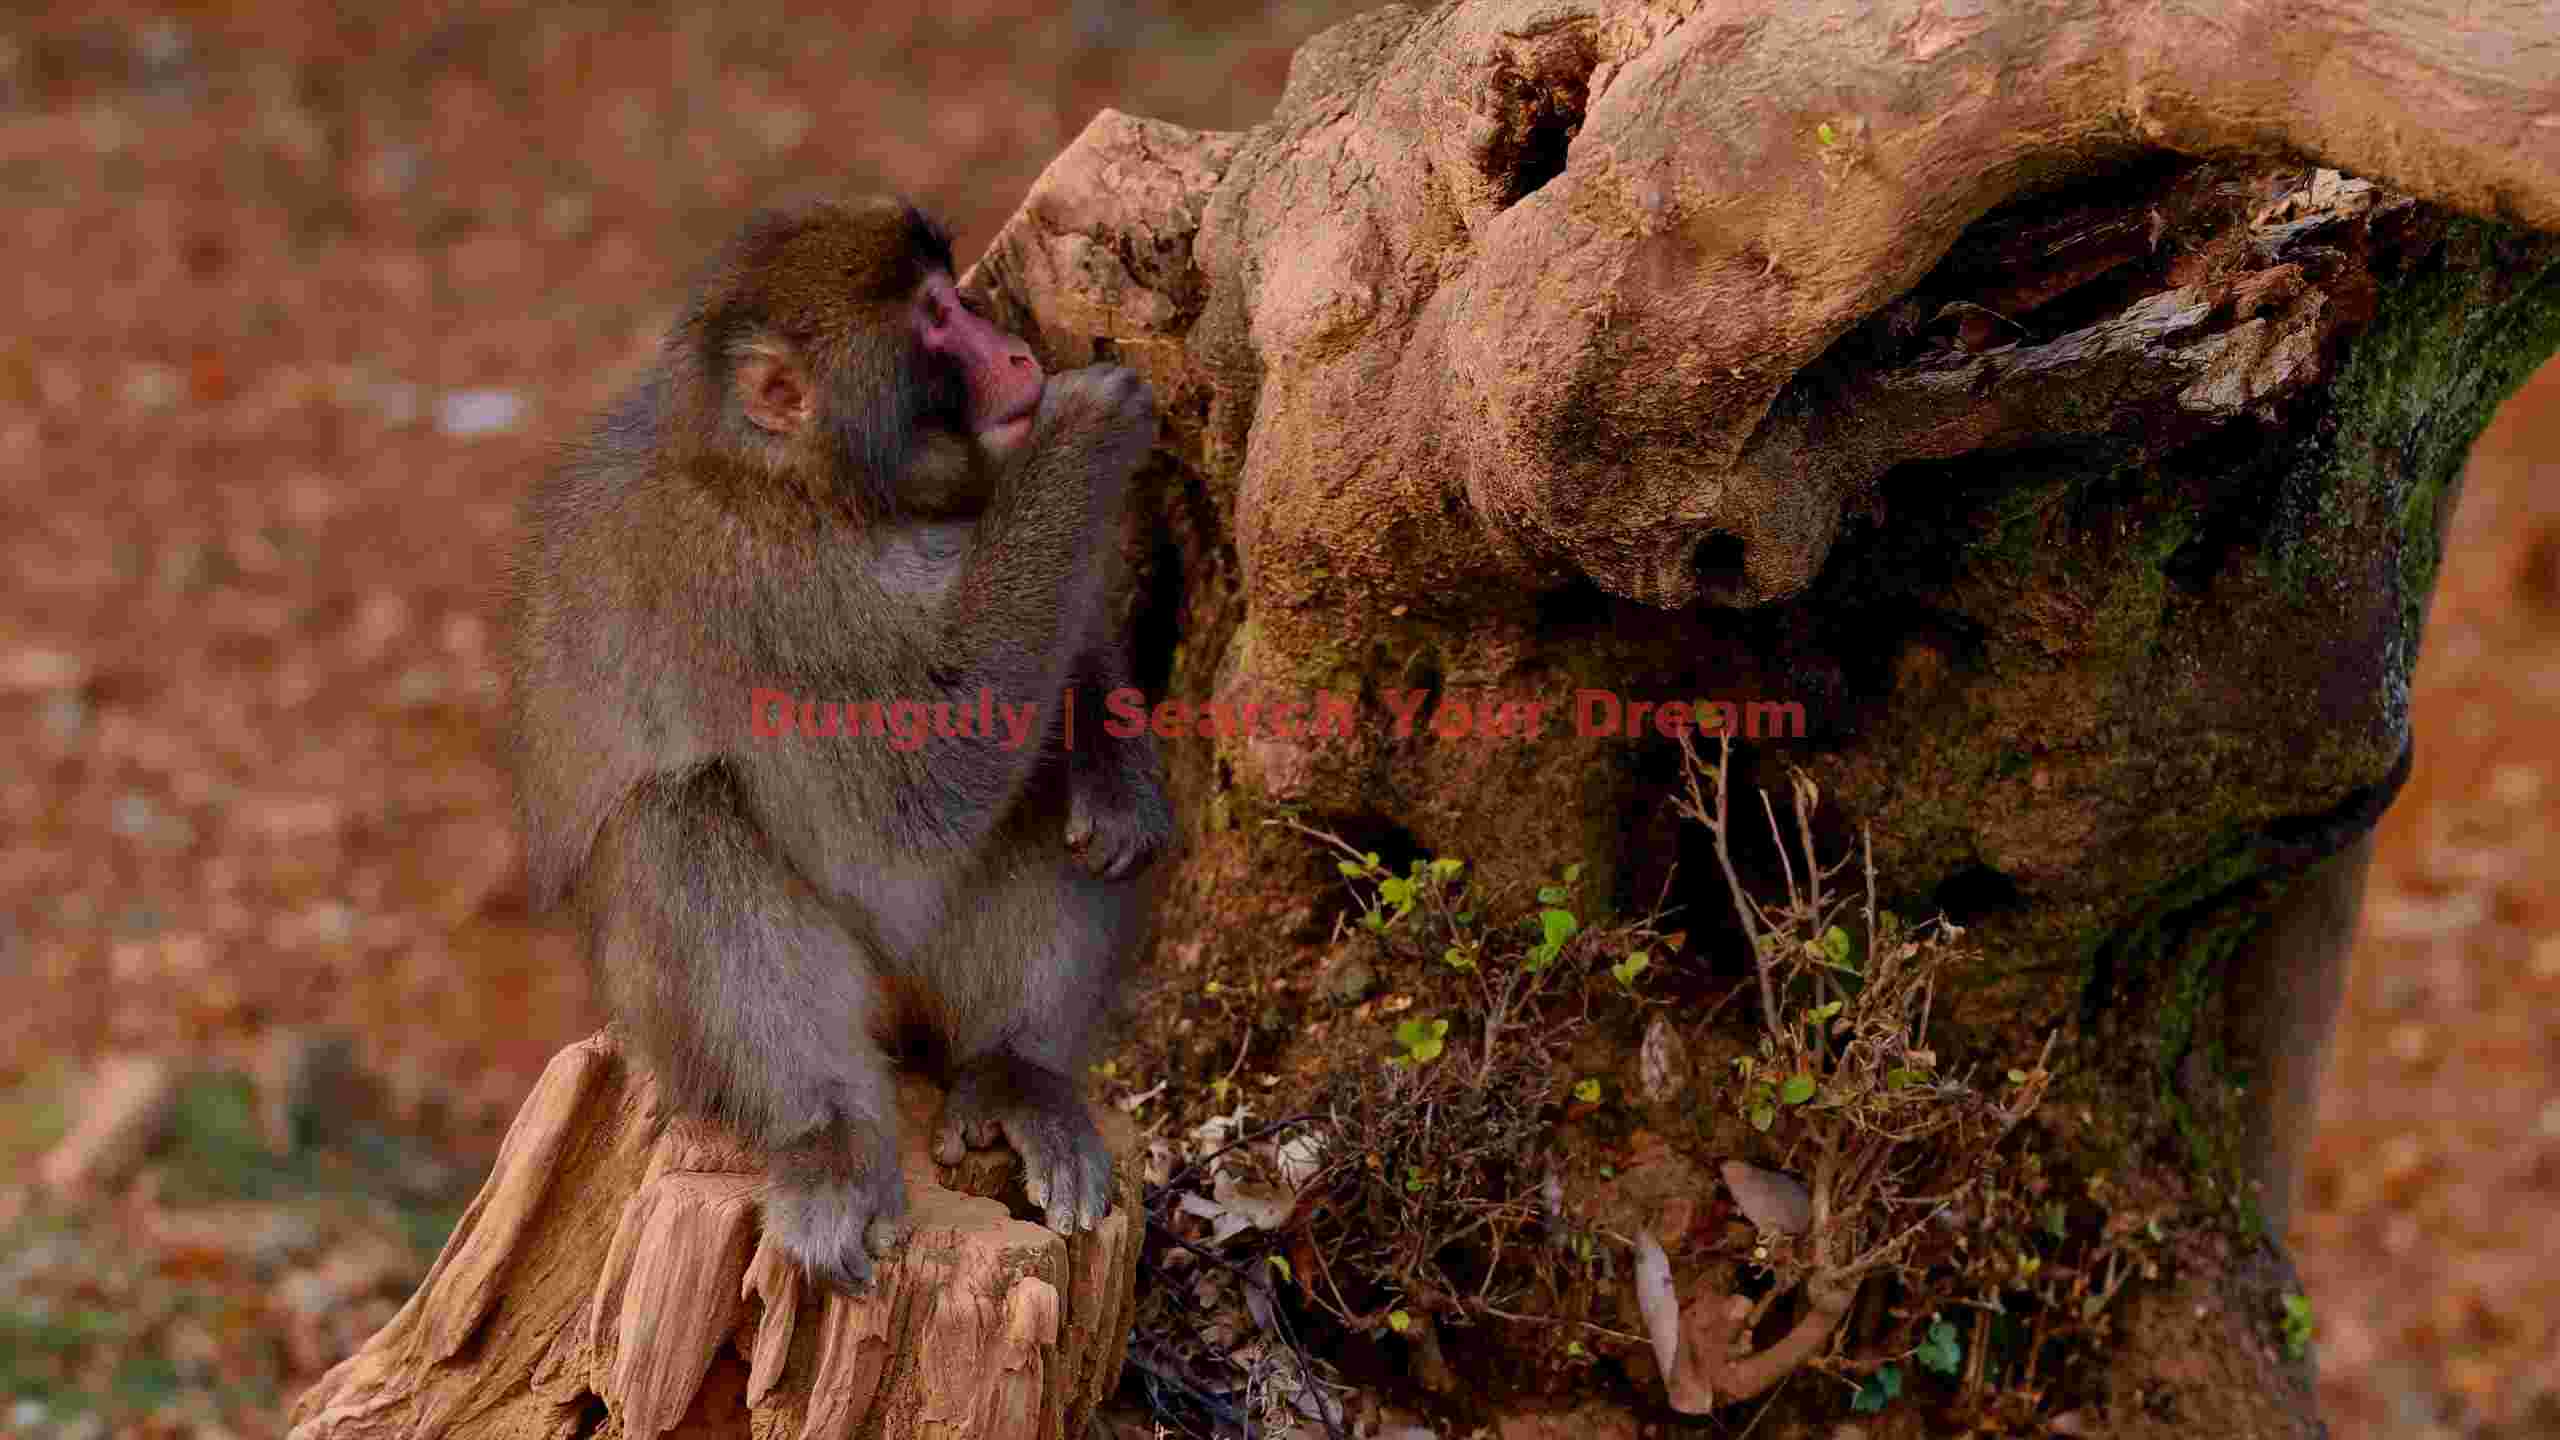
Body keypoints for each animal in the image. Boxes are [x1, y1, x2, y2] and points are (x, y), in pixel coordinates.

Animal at [504, 196, 1172, 1293]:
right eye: (938, 317)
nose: (1015, 352)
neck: (813, 490)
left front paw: (1117, 775)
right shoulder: (763, 592)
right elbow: (911, 799)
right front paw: (1086, 431)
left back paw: (1017, 1067)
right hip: (667, 1036)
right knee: (678, 814)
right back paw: (824, 1132)